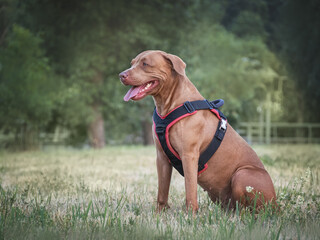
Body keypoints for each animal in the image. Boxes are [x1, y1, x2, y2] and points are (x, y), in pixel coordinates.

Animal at [119, 50, 276, 212]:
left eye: (145, 64)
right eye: (132, 63)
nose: (121, 75)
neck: (169, 104)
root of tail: (277, 204)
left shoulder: (189, 155)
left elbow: (190, 189)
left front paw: (190, 214)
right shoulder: (162, 157)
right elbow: (162, 191)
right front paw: (160, 213)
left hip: (242, 173)